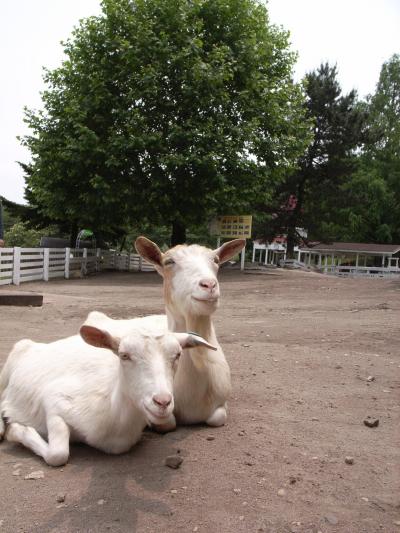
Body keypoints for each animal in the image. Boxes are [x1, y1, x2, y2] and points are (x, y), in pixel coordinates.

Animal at [0, 322, 212, 464]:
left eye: (178, 355)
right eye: (124, 355)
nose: (162, 402)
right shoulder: (55, 399)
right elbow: (58, 455)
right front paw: (17, 430)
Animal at [86, 235, 245, 430]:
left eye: (215, 260)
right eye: (169, 261)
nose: (209, 285)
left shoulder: (222, 403)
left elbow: (217, 418)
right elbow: (167, 423)